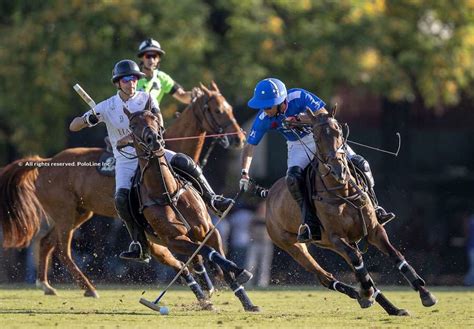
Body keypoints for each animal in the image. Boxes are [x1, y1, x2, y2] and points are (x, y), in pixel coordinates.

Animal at [0, 82, 244, 298]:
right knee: (63, 249)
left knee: (46, 242)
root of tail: (46, 162)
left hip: (79, 212)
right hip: (64, 213)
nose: (239, 138)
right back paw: (89, 288)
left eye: (230, 109)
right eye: (218, 110)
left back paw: (46, 285)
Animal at [124, 107, 260, 310]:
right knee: (182, 266)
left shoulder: (209, 230)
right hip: (157, 247)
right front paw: (238, 270)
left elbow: (216, 258)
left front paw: (248, 302)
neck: (168, 193)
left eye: (155, 118)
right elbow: (209, 253)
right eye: (132, 126)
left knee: (194, 261)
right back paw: (200, 296)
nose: (153, 139)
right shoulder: (175, 240)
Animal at [264, 107, 436, 316]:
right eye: (316, 137)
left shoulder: (374, 230)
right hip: (293, 245)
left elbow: (395, 255)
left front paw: (425, 293)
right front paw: (365, 292)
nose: (338, 170)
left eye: (338, 131)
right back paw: (360, 294)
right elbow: (358, 260)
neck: (342, 192)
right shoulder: (336, 237)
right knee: (327, 276)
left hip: (332, 243)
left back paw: (390, 308)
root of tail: (268, 193)